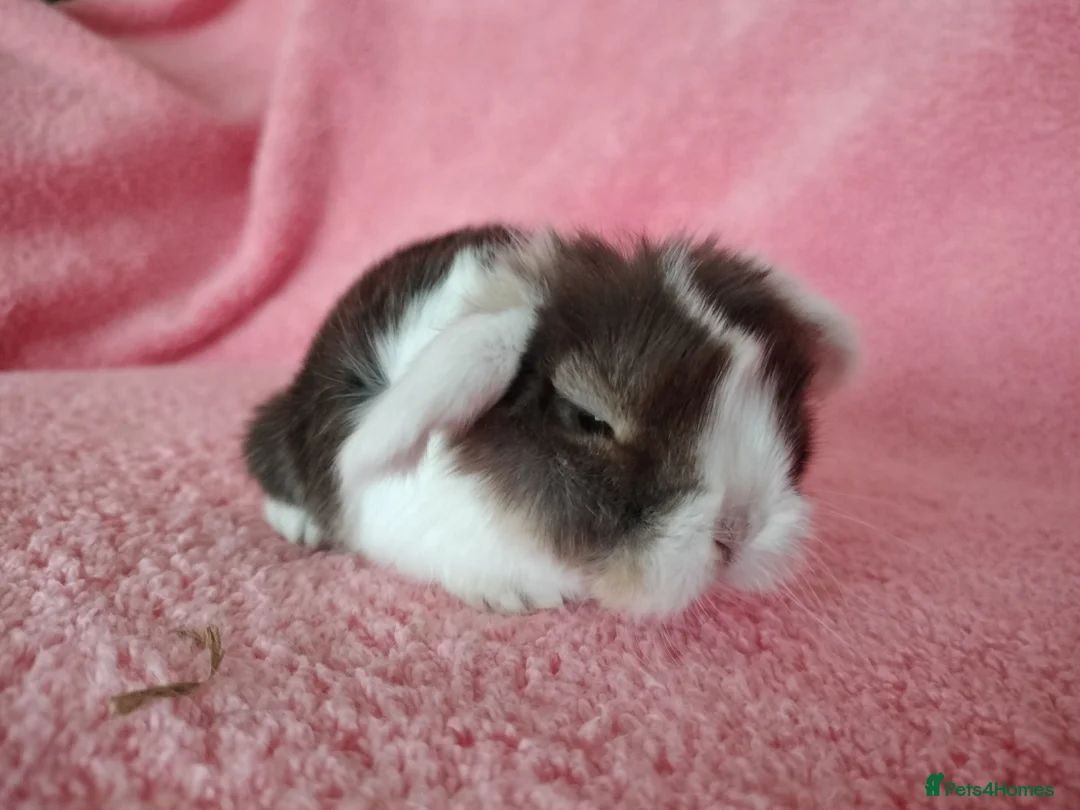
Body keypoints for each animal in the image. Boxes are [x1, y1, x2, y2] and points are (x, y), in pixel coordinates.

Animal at [242, 223, 858, 617]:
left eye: (781, 402)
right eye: (588, 418)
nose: (740, 531)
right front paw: (511, 597)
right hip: (281, 433)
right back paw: (300, 526)